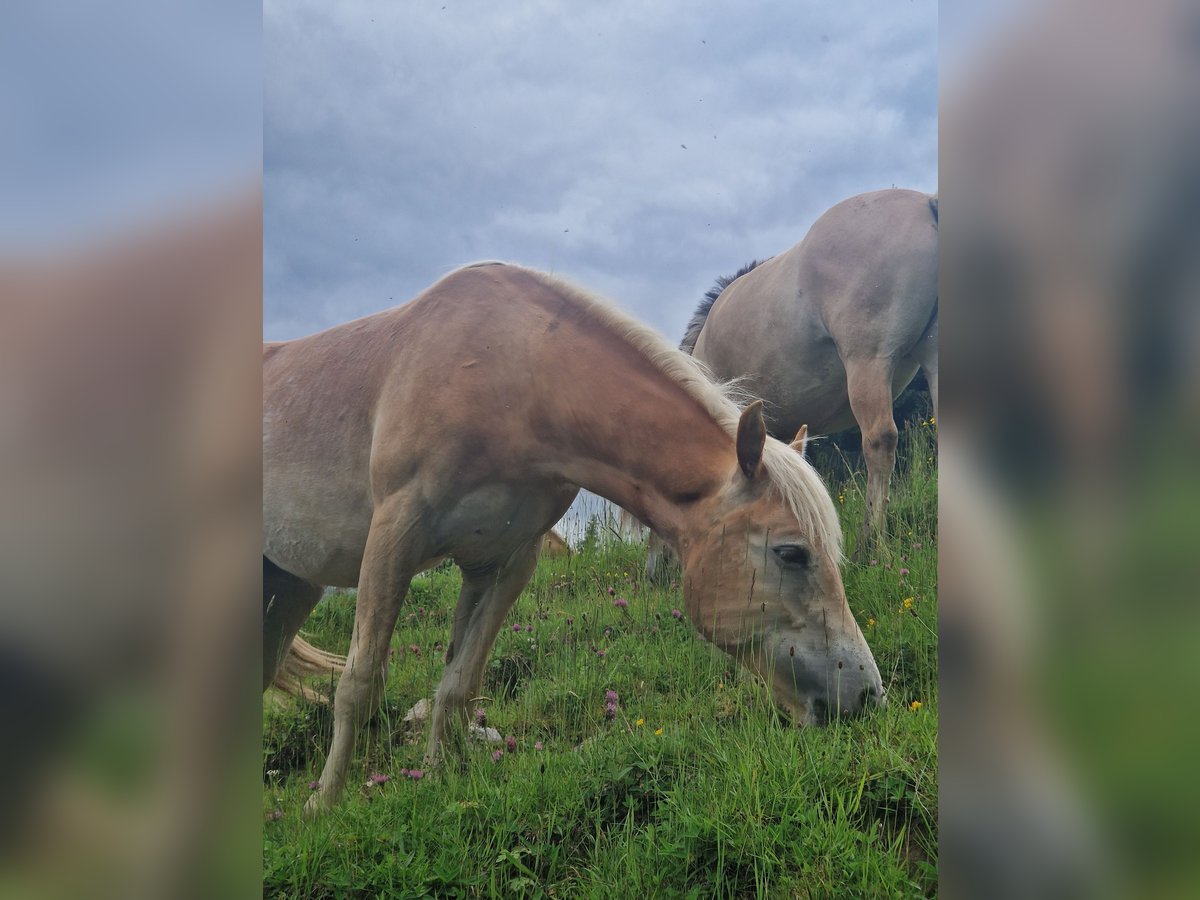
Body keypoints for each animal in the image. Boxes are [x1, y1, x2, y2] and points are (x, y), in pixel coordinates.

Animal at [262, 262, 883, 816]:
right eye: (791, 553)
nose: (867, 694)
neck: (509, 373)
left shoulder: (502, 562)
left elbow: (459, 682)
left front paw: (438, 779)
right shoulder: (395, 536)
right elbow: (360, 681)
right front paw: (322, 808)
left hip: (289, 587)